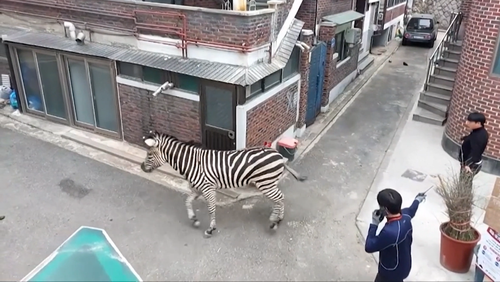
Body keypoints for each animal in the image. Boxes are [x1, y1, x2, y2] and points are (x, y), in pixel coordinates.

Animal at [139, 131, 306, 238]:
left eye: (149, 154)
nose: (141, 167)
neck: (193, 163)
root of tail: (278, 155)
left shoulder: (207, 188)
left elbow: (211, 208)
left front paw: (211, 229)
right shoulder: (198, 189)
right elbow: (187, 201)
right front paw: (194, 219)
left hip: (266, 183)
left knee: (280, 198)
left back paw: (275, 222)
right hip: (268, 183)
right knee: (279, 198)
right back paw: (276, 218)